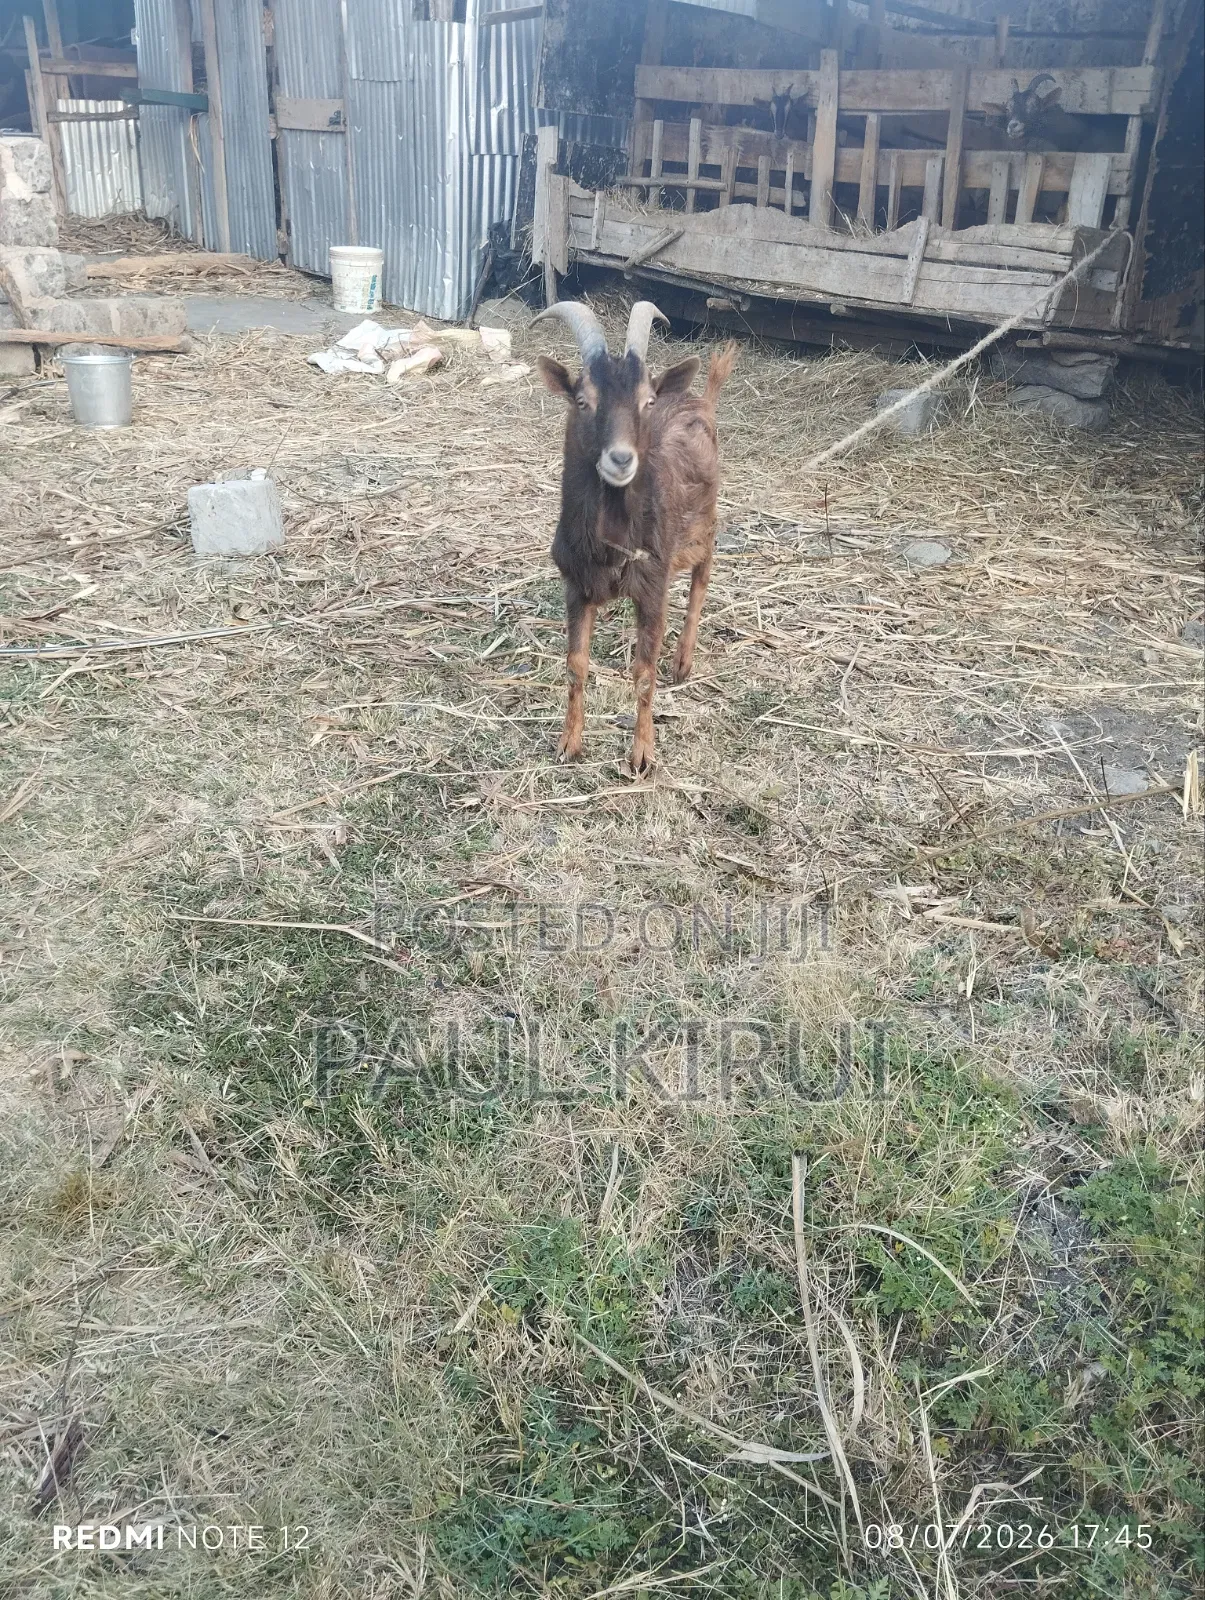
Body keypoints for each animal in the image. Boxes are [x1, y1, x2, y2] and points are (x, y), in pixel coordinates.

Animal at [532, 300, 737, 774]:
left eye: (646, 401)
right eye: (583, 401)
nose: (621, 459)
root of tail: (699, 396)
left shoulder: (652, 585)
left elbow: (645, 675)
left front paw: (642, 754)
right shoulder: (576, 585)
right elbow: (576, 664)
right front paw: (569, 743)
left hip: (704, 523)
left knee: (702, 575)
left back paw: (682, 660)